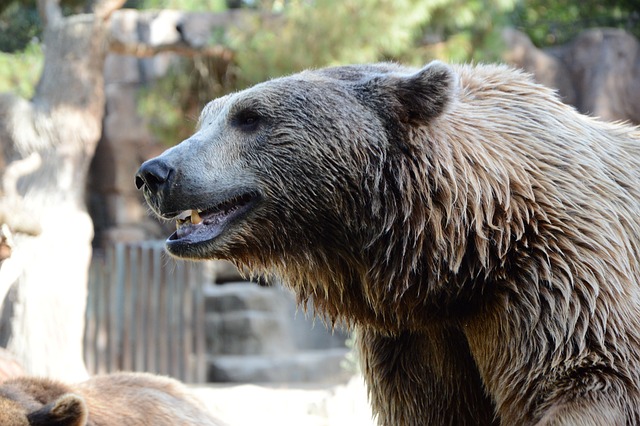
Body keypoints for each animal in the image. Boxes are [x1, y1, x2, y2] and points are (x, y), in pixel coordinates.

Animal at [135, 60, 640, 426]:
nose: (154, 172)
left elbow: (589, 376)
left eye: (250, 117)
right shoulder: (418, 339)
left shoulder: (554, 270)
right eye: (206, 117)